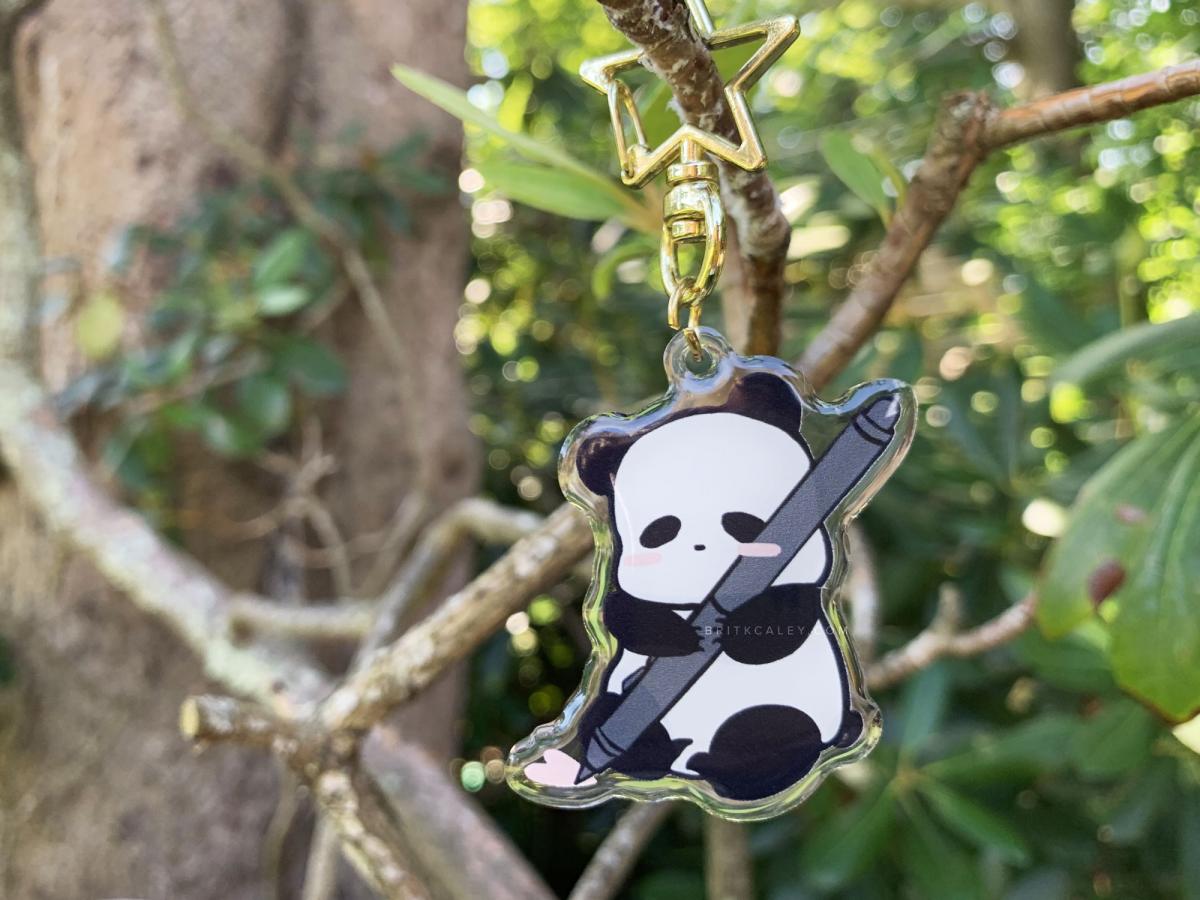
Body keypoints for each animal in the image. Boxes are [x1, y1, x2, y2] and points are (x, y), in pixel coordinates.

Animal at [523, 370, 872, 803]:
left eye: (743, 523)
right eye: (661, 531)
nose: (701, 548)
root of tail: (686, 760)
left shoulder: (798, 589)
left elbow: (786, 618)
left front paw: (733, 628)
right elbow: (624, 614)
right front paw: (680, 638)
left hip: (791, 715)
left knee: (773, 732)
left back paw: (726, 766)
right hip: (620, 708)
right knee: (606, 714)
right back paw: (640, 753)